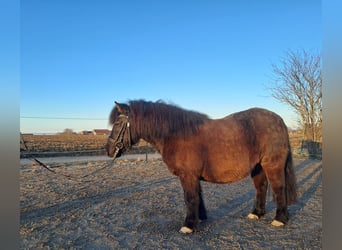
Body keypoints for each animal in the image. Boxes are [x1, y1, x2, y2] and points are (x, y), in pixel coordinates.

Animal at [105, 99, 296, 234]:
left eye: (118, 124)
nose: (109, 150)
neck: (176, 133)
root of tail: (279, 120)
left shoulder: (188, 176)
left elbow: (190, 198)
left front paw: (188, 225)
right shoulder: (194, 176)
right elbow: (198, 196)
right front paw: (200, 218)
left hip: (272, 165)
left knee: (279, 189)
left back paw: (279, 219)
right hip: (258, 167)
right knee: (261, 187)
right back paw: (256, 213)